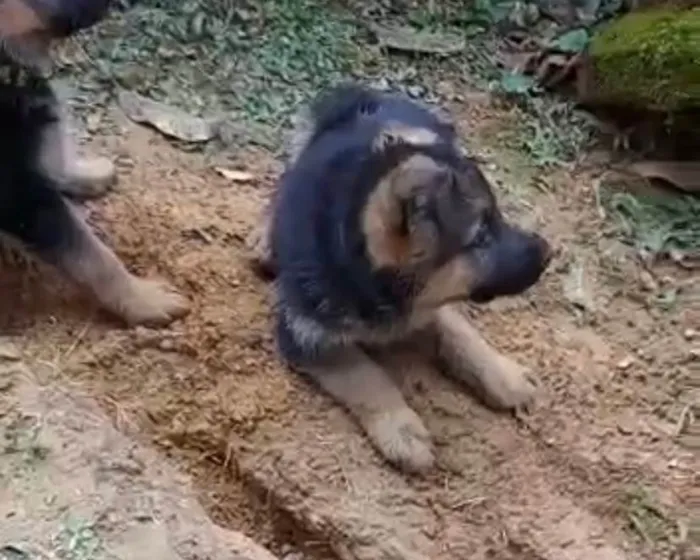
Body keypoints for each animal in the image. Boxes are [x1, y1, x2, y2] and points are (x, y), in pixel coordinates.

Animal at [250, 84, 552, 472]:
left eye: (499, 219)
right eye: (481, 237)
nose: (548, 252)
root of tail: (366, 94)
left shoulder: (431, 303)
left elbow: (461, 334)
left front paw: (504, 377)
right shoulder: (308, 333)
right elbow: (364, 375)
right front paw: (403, 431)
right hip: (304, 138)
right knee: (282, 181)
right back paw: (265, 239)